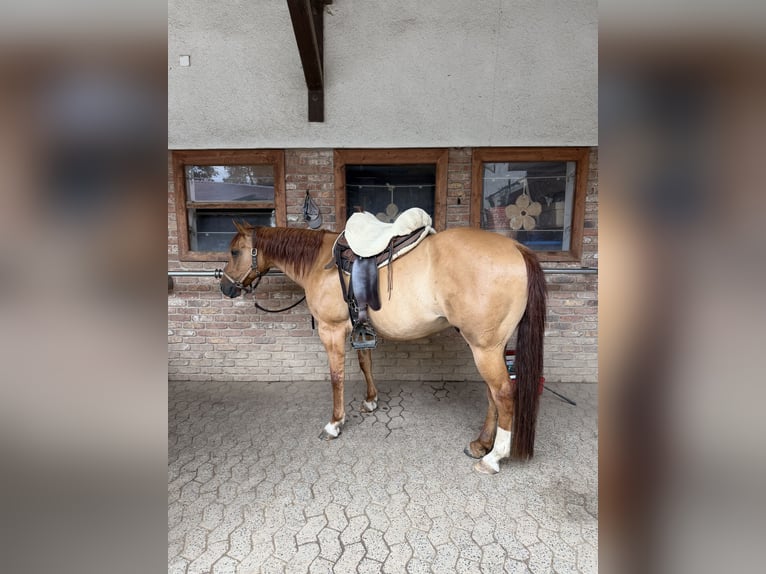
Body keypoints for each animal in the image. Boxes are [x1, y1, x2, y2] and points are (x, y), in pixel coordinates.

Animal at [220, 221, 546, 474]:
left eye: (235, 251)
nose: (225, 287)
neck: (320, 262)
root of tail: (516, 248)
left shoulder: (331, 331)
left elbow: (336, 378)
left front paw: (335, 424)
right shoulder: (358, 327)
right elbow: (366, 363)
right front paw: (370, 401)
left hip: (485, 349)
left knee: (503, 393)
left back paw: (493, 458)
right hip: (491, 347)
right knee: (493, 395)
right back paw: (480, 445)